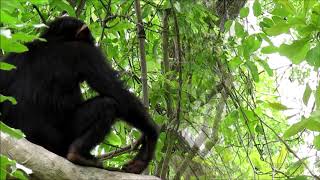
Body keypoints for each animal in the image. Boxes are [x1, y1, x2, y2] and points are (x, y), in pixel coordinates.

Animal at [0, 16, 159, 174]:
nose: (93, 40)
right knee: (107, 105)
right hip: (61, 138)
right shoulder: (87, 53)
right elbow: (115, 91)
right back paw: (78, 154)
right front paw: (150, 139)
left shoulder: (12, 53)